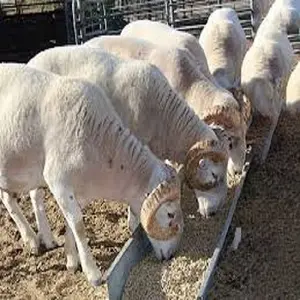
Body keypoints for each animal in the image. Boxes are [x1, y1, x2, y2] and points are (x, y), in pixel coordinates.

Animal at [0, 62, 183, 286]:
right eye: (170, 214)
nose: (172, 255)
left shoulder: (78, 191)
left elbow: (70, 223)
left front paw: (71, 260)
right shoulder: (58, 182)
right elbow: (78, 224)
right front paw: (92, 273)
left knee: (7, 198)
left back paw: (32, 240)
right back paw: (33, 241)